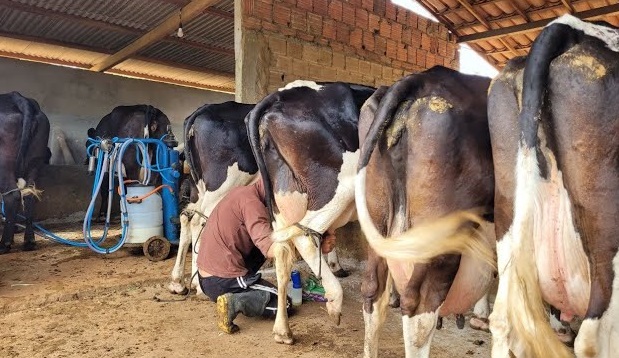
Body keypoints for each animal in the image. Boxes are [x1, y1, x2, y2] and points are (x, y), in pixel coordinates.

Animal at [0, 92, 50, 255]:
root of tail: (17, 97)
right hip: (35, 162)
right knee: (28, 195)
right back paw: (29, 241)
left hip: (3, 165)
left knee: (12, 196)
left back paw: (4, 244)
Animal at [247, 80, 378, 344]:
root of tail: (279, 95)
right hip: (338, 187)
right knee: (305, 238)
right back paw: (334, 301)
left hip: (282, 200)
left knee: (282, 255)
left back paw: (282, 330)